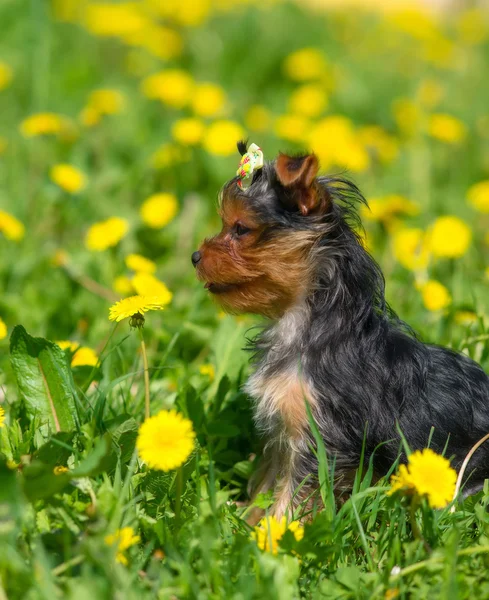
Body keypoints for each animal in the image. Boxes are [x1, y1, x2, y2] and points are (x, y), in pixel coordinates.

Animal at [192, 141, 488, 516]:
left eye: (240, 229)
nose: (194, 256)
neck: (304, 325)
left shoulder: (322, 438)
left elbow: (294, 495)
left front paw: (274, 530)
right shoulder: (286, 434)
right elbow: (268, 482)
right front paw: (245, 520)